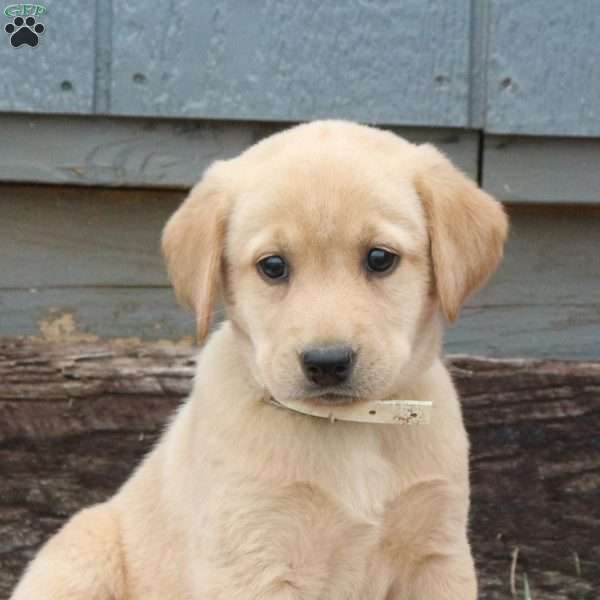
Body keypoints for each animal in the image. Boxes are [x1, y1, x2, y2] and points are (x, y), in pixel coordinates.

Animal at [10, 122, 506, 600]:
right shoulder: (255, 561)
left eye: (380, 258)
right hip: (82, 551)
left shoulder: (439, 557)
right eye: (273, 266)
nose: (327, 362)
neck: (350, 430)